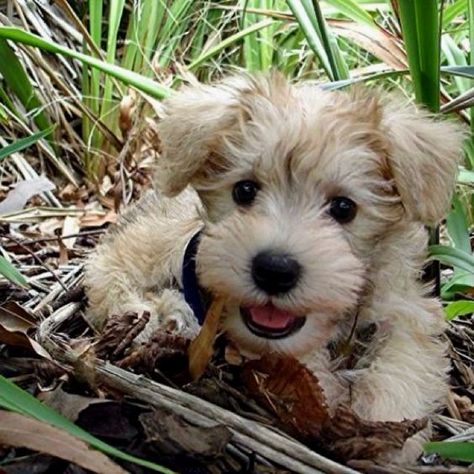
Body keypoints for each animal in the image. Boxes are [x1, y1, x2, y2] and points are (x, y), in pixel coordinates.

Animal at [84, 72, 462, 462]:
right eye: (245, 190)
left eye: (344, 208)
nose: (275, 270)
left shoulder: (405, 304)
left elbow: (407, 358)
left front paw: (387, 423)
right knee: (109, 265)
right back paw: (155, 314)